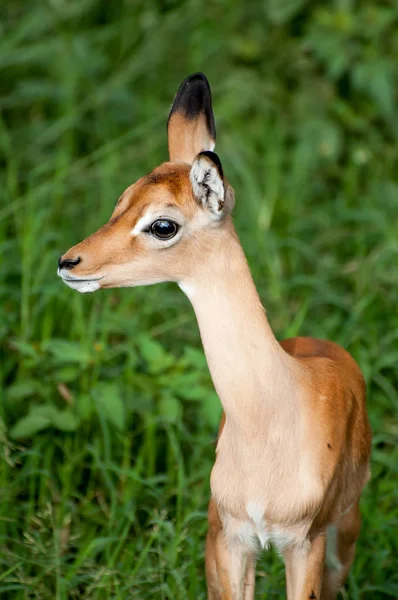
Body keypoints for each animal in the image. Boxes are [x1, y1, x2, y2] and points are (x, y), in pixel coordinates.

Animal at [57, 72, 372, 596]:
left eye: (162, 224)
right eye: (122, 202)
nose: (69, 262)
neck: (270, 418)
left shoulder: (303, 542)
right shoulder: (233, 537)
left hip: (342, 534)